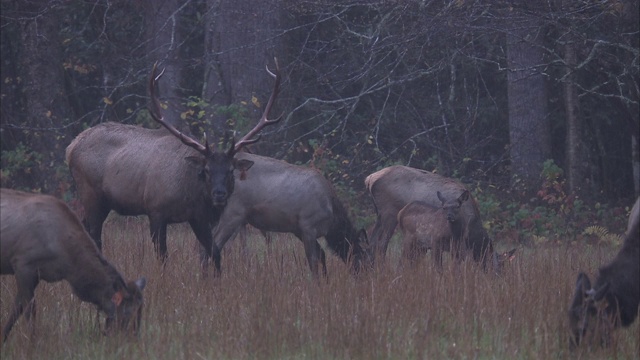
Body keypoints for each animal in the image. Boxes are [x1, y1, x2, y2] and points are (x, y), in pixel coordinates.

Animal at [0, 188, 146, 344]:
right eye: (127, 313)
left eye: (141, 311)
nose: (135, 341)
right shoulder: (22, 264)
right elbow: (29, 310)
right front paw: (33, 343)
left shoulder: (36, 275)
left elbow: (17, 308)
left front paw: (3, 338)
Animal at [66, 59, 282, 268]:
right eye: (206, 170)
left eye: (230, 171)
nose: (219, 194)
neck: (190, 194)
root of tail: (71, 147)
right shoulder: (155, 210)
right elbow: (163, 257)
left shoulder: (198, 217)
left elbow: (214, 253)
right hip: (91, 194)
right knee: (95, 234)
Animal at [211, 153, 370, 278]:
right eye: (363, 257)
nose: (366, 278)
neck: (332, 221)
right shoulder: (308, 226)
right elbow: (313, 260)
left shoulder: (298, 230)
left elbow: (322, 255)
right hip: (233, 213)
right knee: (214, 244)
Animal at [364, 166, 516, 272]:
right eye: (498, 266)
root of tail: (369, 179)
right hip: (389, 212)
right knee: (381, 244)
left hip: (380, 215)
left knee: (372, 241)